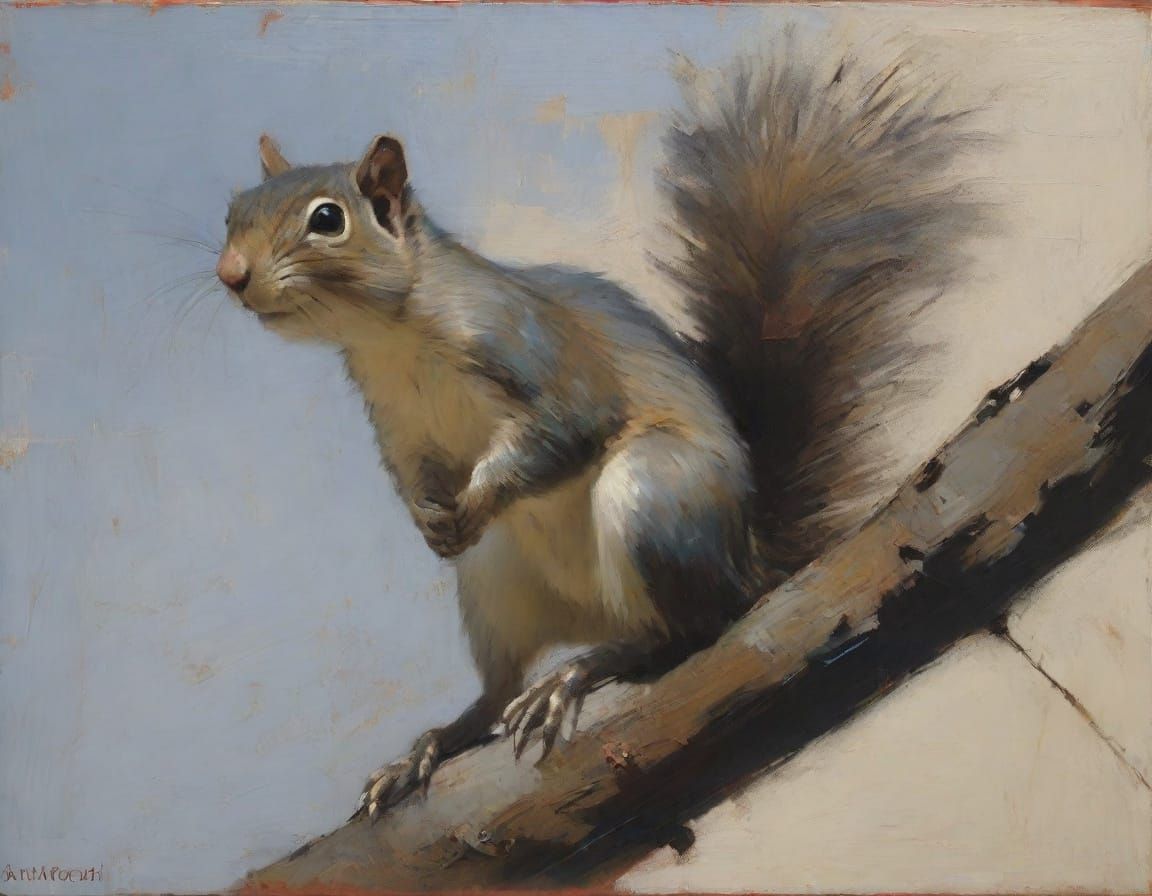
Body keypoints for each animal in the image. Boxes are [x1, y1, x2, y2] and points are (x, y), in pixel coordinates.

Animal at [215, 49, 976, 821]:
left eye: (327, 219)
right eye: (232, 213)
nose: (230, 275)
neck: (389, 338)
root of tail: (751, 564)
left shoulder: (537, 353)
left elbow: (568, 428)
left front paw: (481, 495)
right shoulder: (398, 427)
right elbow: (411, 478)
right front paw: (429, 519)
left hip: (655, 496)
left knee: (684, 632)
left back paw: (581, 671)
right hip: (494, 579)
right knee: (497, 689)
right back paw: (434, 743)